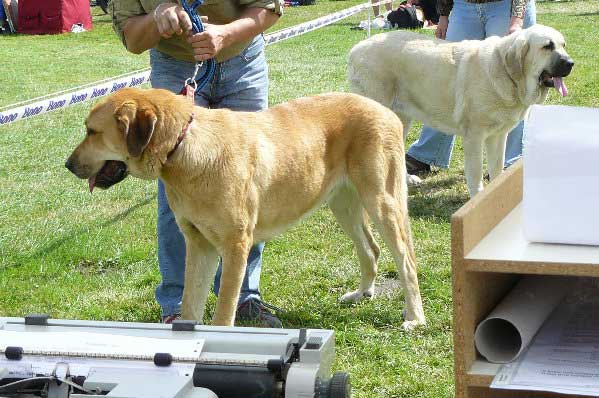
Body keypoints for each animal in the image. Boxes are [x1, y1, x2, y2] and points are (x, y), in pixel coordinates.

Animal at [65, 89, 426, 330]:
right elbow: (190, 305)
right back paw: (363, 293)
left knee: (406, 260)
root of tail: (387, 112)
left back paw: (414, 318)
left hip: (382, 201)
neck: (182, 147)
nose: (67, 165)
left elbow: (224, 310)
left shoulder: (235, 246)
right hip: (343, 204)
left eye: (92, 131)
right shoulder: (199, 245)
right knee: (371, 249)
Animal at [350, 24, 576, 196]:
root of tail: (356, 49)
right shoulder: (474, 137)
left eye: (563, 45)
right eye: (547, 46)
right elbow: (475, 173)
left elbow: (497, 168)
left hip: (399, 119)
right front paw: (477, 198)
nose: (570, 63)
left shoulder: (498, 136)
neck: (506, 73)